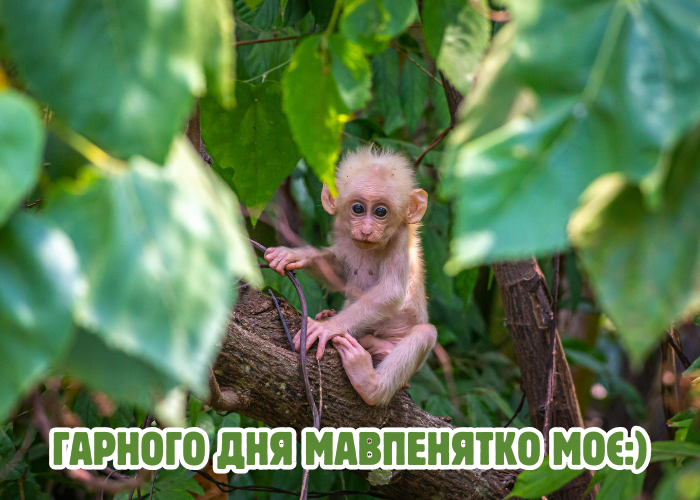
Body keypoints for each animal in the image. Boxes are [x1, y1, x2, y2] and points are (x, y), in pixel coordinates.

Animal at [266, 146, 434, 404]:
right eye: (358, 209)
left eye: (381, 211)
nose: (366, 230)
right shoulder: (343, 231)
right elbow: (339, 273)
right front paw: (295, 255)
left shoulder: (401, 238)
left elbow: (391, 291)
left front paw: (327, 328)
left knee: (425, 333)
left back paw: (370, 384)